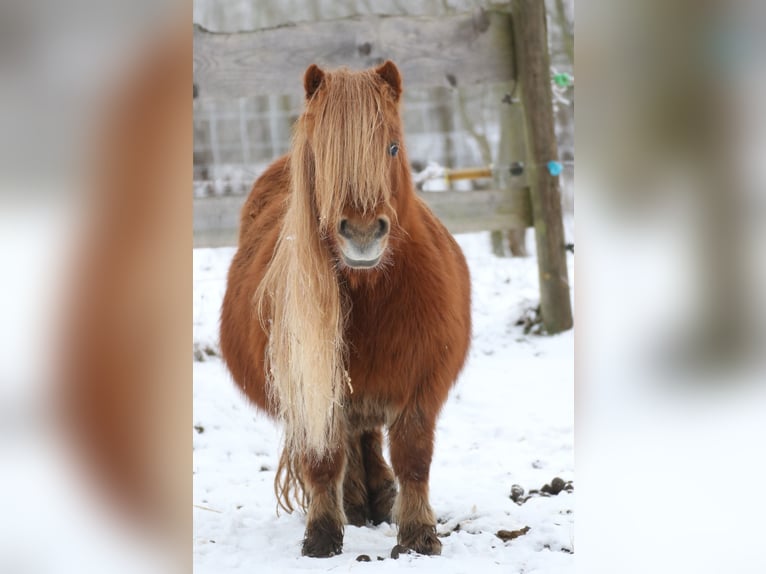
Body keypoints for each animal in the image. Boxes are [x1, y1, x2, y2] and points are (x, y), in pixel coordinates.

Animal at [220, 62, 474, 560]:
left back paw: (380, 497)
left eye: (393, 147)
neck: (377, 295)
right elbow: (323, 460)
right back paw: (357, 503)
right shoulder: (311, 386)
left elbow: (414, 456)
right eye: (322, 153)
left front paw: (418, 535)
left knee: (368, 437)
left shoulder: (423, 384)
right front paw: (322, 534)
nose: (361, 233)